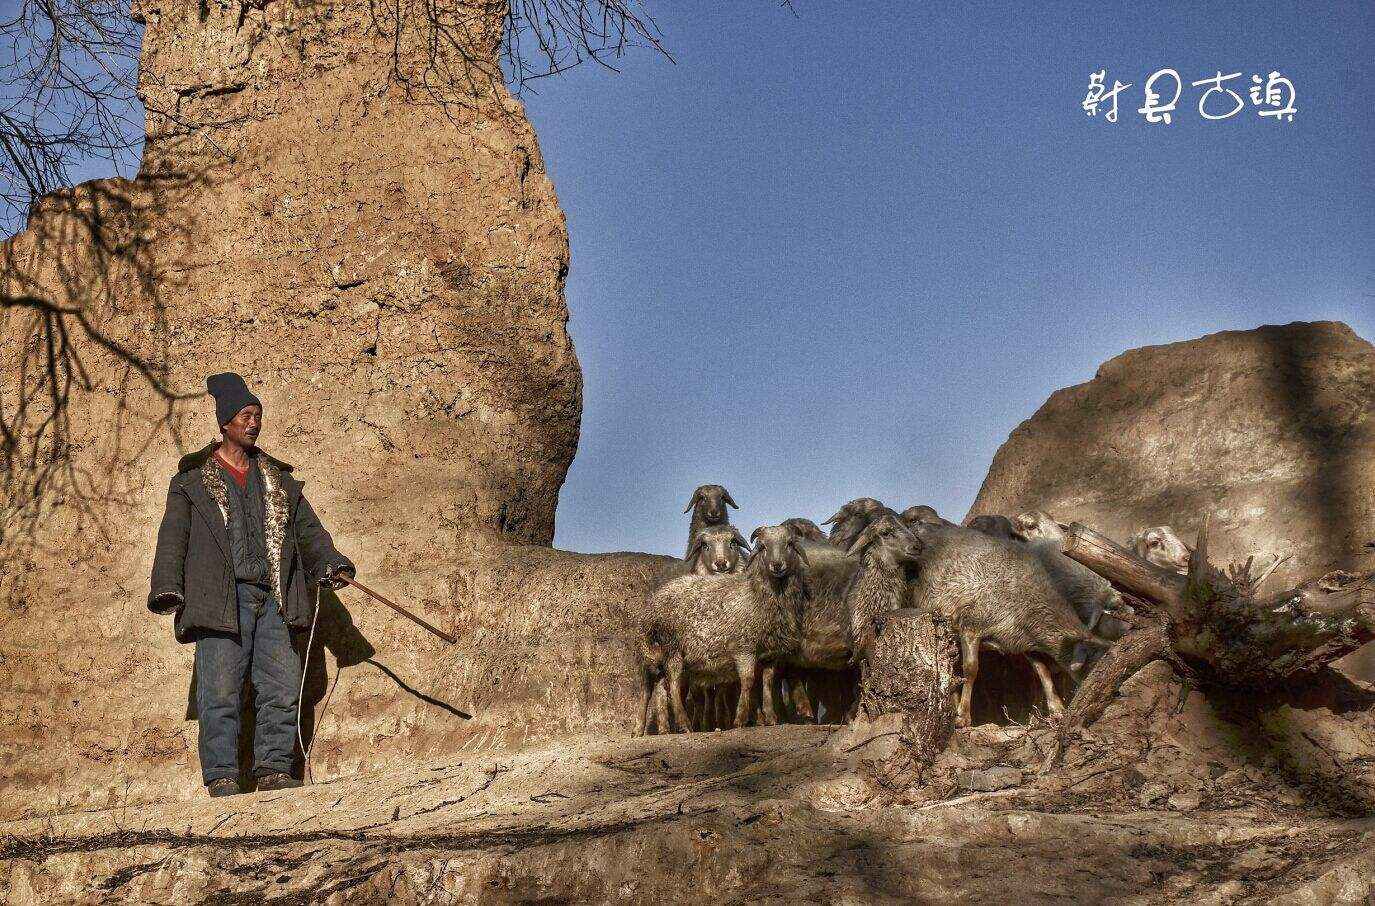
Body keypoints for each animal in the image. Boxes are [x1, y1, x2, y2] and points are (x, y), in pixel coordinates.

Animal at [638, 525, 808, 731]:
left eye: (789, 544)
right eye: (763, 547)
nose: (776, 565)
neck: (758, 593)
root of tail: (654, 602)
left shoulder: (769, 653)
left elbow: (767, 682)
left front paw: (770, 717)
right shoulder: (744, 647)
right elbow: (748, 681)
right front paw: (741, 718)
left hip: (659, 654)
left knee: (659, 686)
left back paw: (658, 728)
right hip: (671, 648)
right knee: (670, 684)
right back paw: (682, 723)